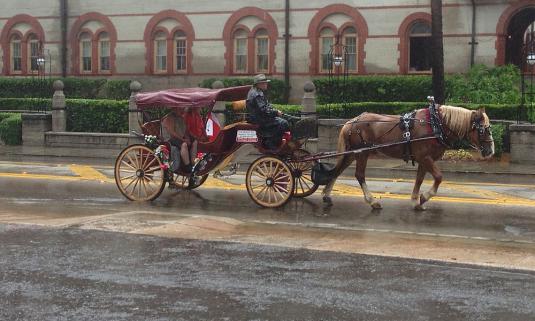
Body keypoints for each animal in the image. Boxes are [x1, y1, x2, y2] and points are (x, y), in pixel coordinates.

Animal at [322, 105, 494, 210]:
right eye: (483, 129)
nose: (491, 151)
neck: (435, 124)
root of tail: (351, 122)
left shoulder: (424, 159)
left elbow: (419, 179)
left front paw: (416, 201)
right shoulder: (425, 157)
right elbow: (439, 177)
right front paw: (424, 197)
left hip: (352, 153)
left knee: (337, 171)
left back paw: (326, 195)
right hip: (361, 153)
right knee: (359, 175)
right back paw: (372, 201)